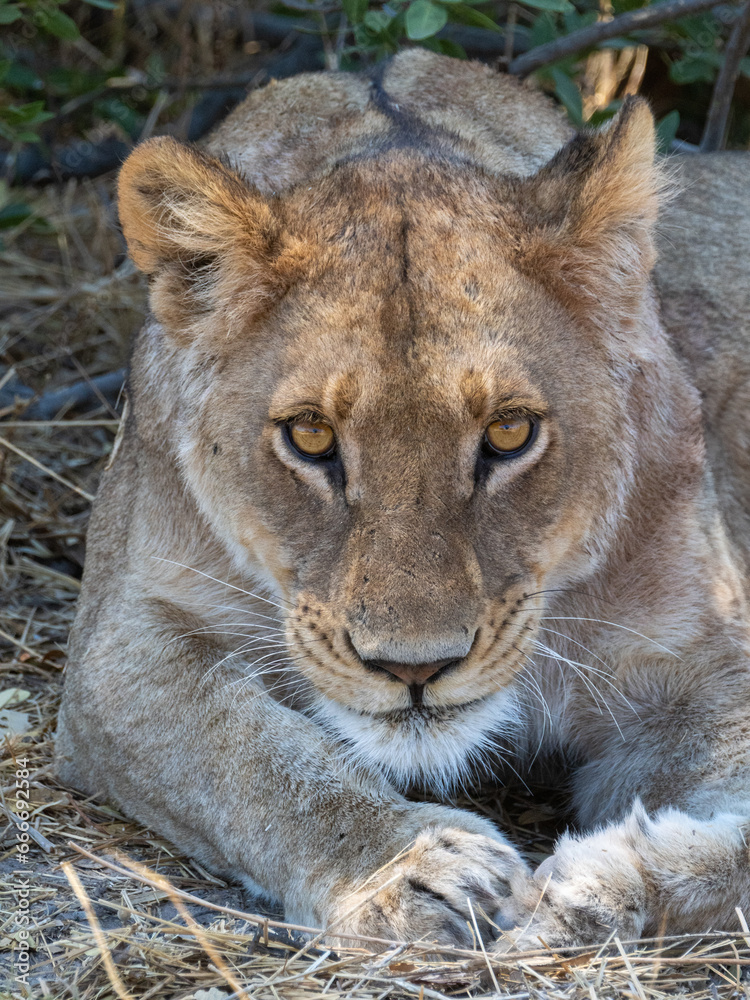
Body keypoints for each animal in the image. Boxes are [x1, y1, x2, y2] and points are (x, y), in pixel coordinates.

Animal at [56, 49, 750, 949]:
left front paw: (596, 884)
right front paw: (411, 869)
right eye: (311, 435)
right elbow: (247, 753)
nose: (413, 669)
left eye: (510, 432)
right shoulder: (119, 645)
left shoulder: (702, 662)